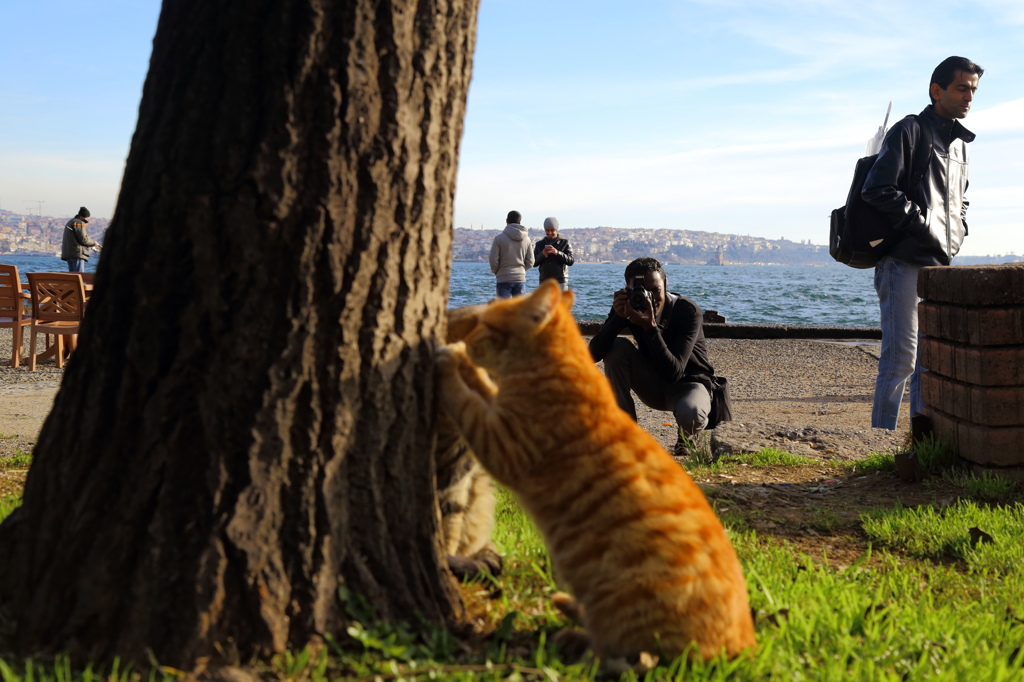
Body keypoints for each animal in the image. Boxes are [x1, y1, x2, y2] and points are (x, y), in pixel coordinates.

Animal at [436, 278, 757, 655]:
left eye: (484, 325)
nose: (465, 336)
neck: (558, 368)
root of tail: (746, 643)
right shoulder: (496, 412)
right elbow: (480, 387)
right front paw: (461, 358)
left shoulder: (500, 442)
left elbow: (465, 400)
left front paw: (450, 358)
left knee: (621, 648)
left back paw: (574, 636)